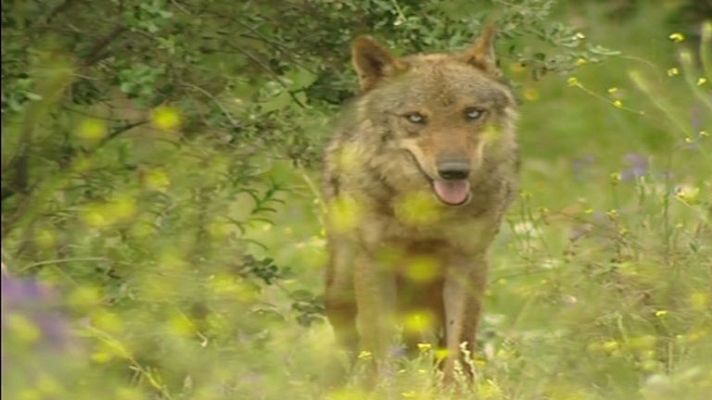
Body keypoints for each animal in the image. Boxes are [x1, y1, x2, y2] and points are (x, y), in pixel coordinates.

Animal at [322, 26, 519, 383]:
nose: (454, 170)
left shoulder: (468, 262)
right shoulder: (375, 263)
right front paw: (379, 389)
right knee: (351, 345)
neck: (425, 216)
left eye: (472, 113)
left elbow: (460, 346)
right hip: (340, 286)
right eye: (415, 118)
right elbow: (378, 349)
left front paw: (458, 390)